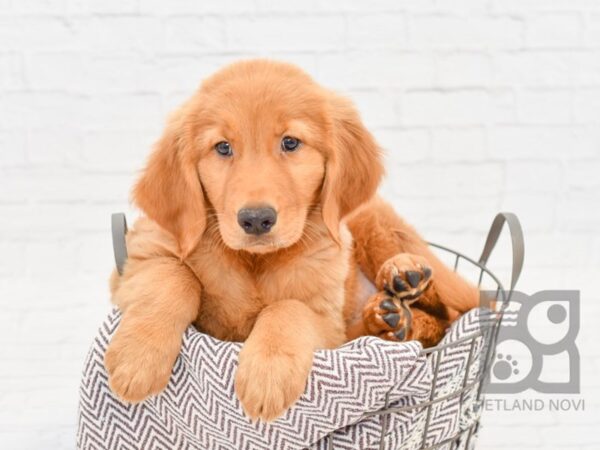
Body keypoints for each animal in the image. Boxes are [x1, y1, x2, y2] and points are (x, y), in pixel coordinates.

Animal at [104, 59, 478, 422]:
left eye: (290, 143)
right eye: (223, 147)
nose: (256, 219)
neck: (254, 261)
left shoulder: (327, 324)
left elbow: (288, 307)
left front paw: (268, 373)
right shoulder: (141, 256)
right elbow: (173, 276)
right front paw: (137, 357)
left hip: (378, 228)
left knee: (452, 312)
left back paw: (404, 277)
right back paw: (390, 315)